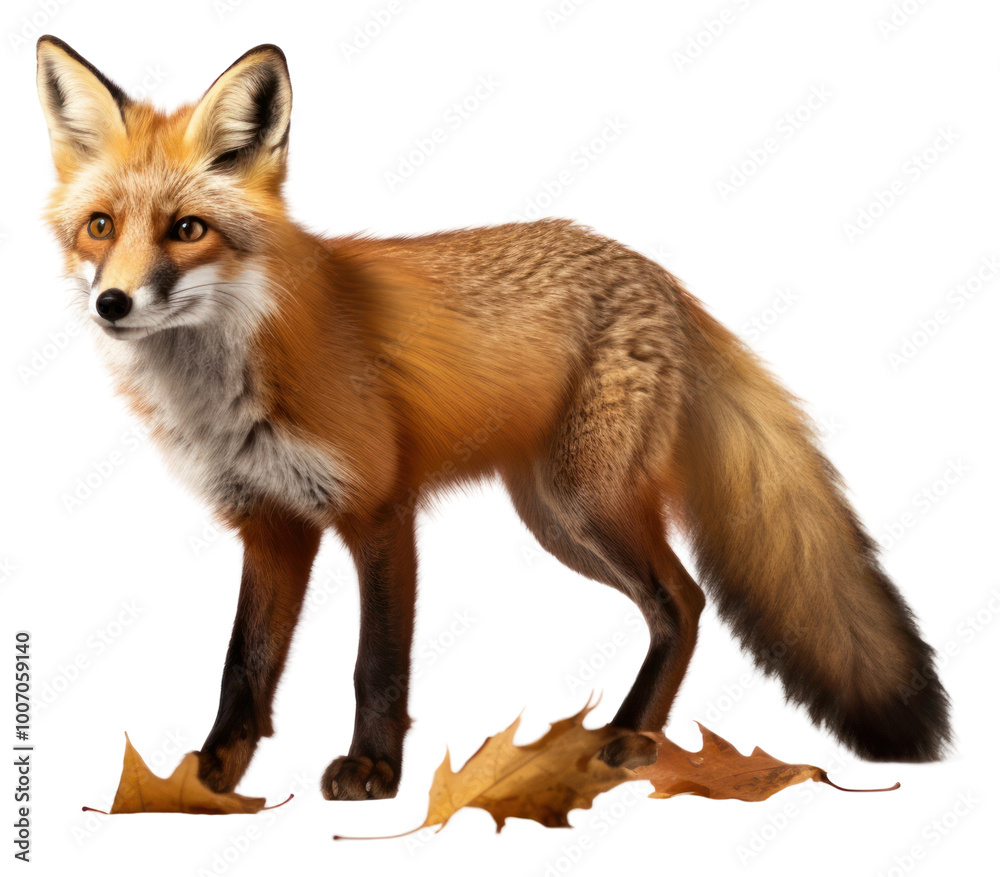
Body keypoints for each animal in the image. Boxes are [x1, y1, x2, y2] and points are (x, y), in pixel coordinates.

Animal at [36, 36, 951, 801]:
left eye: (187, 229)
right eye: (100, 227)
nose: (112, 303)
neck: (229, 378)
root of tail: (662, 278)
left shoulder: (380, 510)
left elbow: (378, 664)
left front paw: (375, 770)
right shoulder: (271, 524)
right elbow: (243, 664)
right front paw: (211, 777)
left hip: (590, 504)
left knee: (686, 598)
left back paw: (630, 739)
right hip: (559, 520)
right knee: (674, 608)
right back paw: (633, 734)